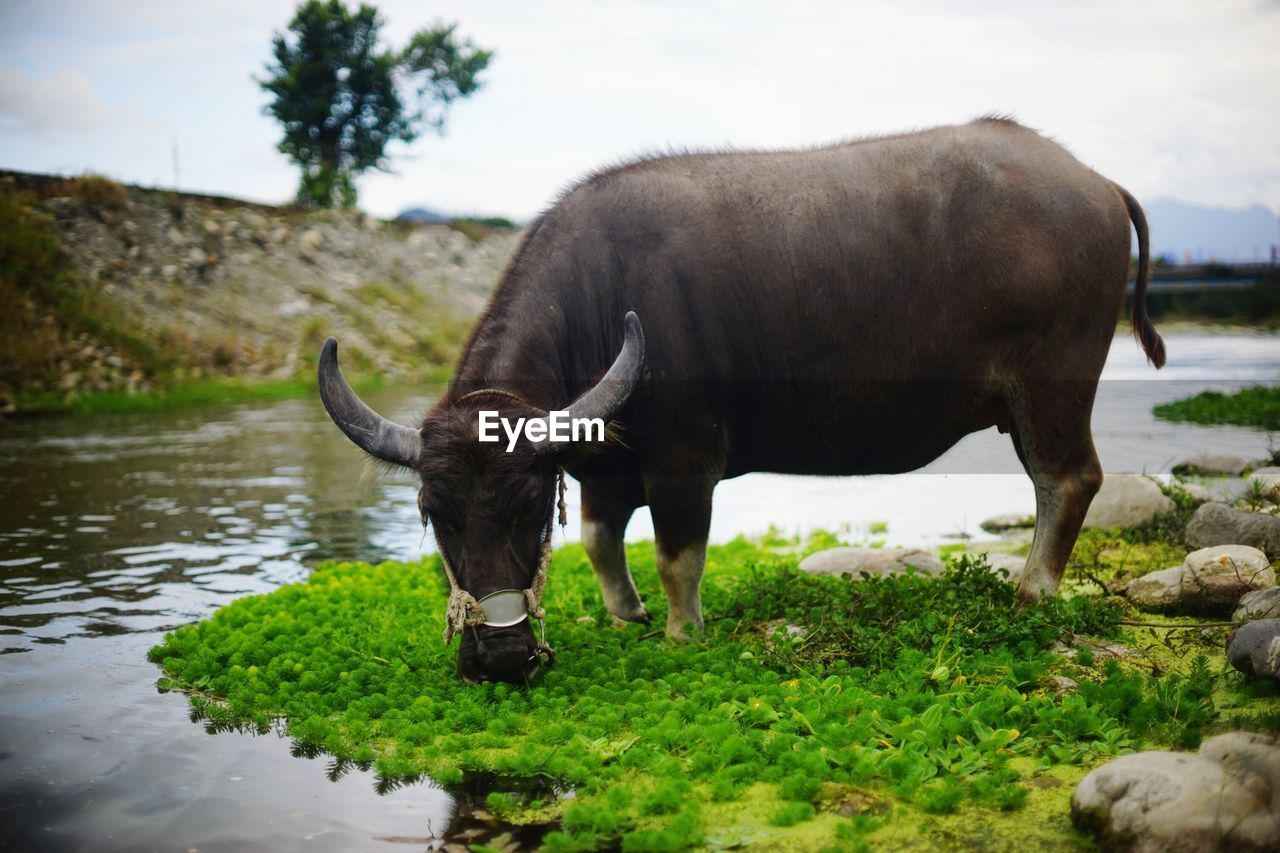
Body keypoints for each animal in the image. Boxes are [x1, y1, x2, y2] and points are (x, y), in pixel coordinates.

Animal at [314, 116, 1167, 681]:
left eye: (526, 503)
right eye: (435, 513)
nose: (497, 656)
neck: (600, 299)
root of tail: (1096, 182)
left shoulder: (684, 458)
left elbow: (676, 553)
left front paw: (681, 633)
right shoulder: (600, 469)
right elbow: (600, 542)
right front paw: (626, 617)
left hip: (1052, 390)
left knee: (1067, 480)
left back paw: (1032, 592)